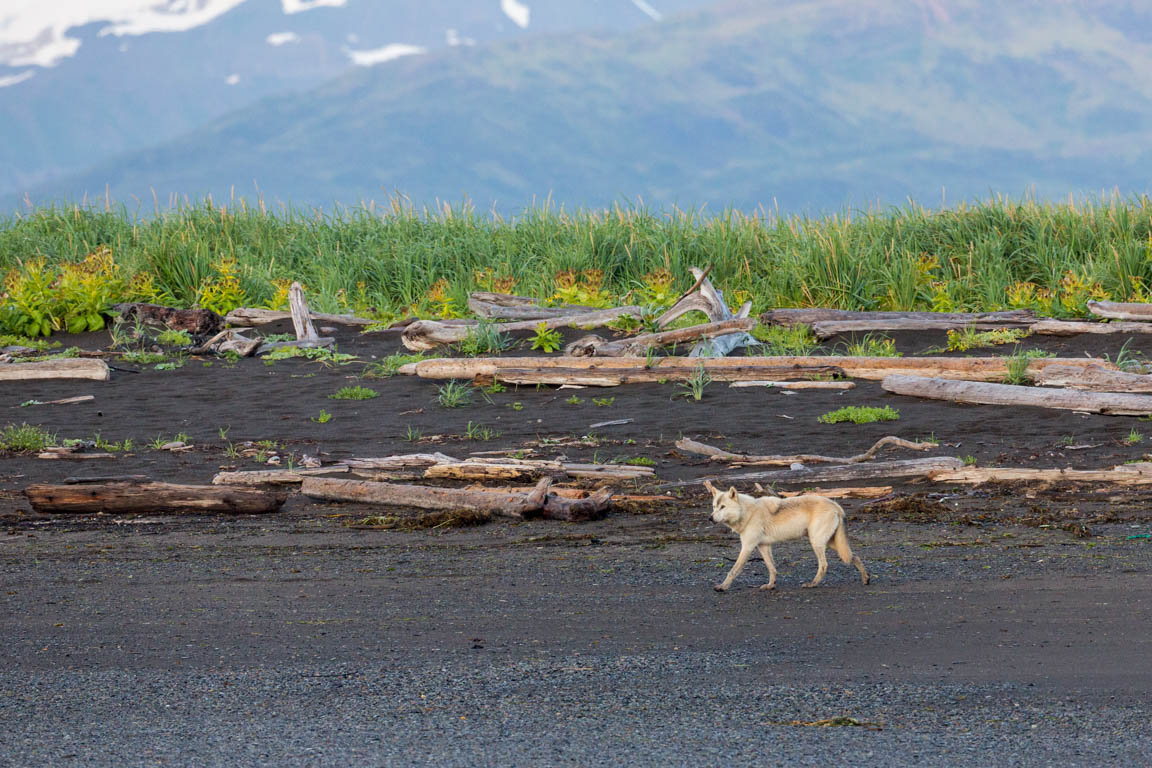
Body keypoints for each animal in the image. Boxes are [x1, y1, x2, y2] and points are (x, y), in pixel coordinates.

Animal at [700, 481, 870, 594]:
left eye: (723, 507)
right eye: (714, 507)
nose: (710, 518)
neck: (747, 513)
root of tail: (836, 505)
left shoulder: (747, 547)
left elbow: (733, 570)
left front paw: (722, 587)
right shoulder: (763, 546)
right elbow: (772, 568)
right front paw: (771, 585)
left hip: (817, 543)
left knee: (824, 565)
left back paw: (812, 584)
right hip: (831, 543)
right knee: (855, 557)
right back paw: (866, 579)